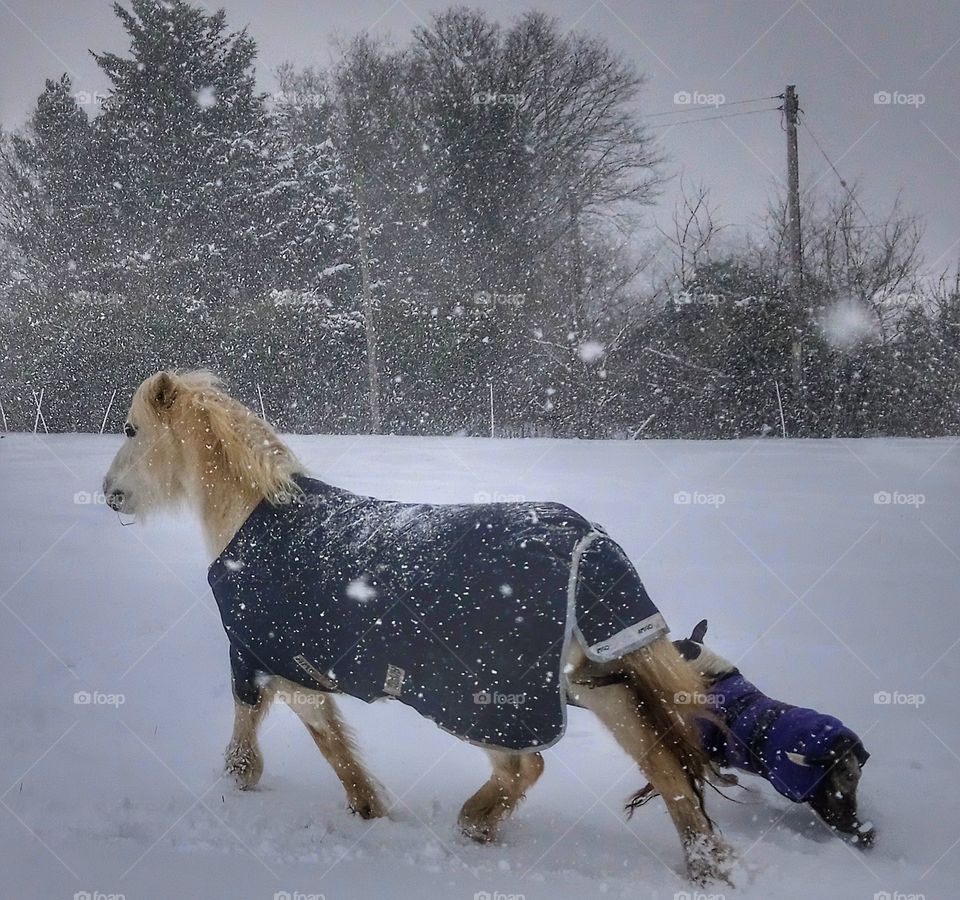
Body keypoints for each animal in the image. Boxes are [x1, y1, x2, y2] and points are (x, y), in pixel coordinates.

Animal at [103, 370, 736, 884]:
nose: (110, 494)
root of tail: (583, 538)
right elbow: (332, 743)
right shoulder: (296, 667)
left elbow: (263, 732)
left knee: (527, 764)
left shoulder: (258, 659)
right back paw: (707, 863)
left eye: (132, 430)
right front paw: (368, 808)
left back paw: (475, 823)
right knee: (659, 758)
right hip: (592, 679)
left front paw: (248, 782)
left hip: (485, 703)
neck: (253, 520)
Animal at [668, 624, 876, 848]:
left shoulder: (707, 749)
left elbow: (717, 778)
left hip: (822, 800)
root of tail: (841, 747)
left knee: (856, 828)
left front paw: (731, 779)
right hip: (843, 792)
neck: (712, 676)